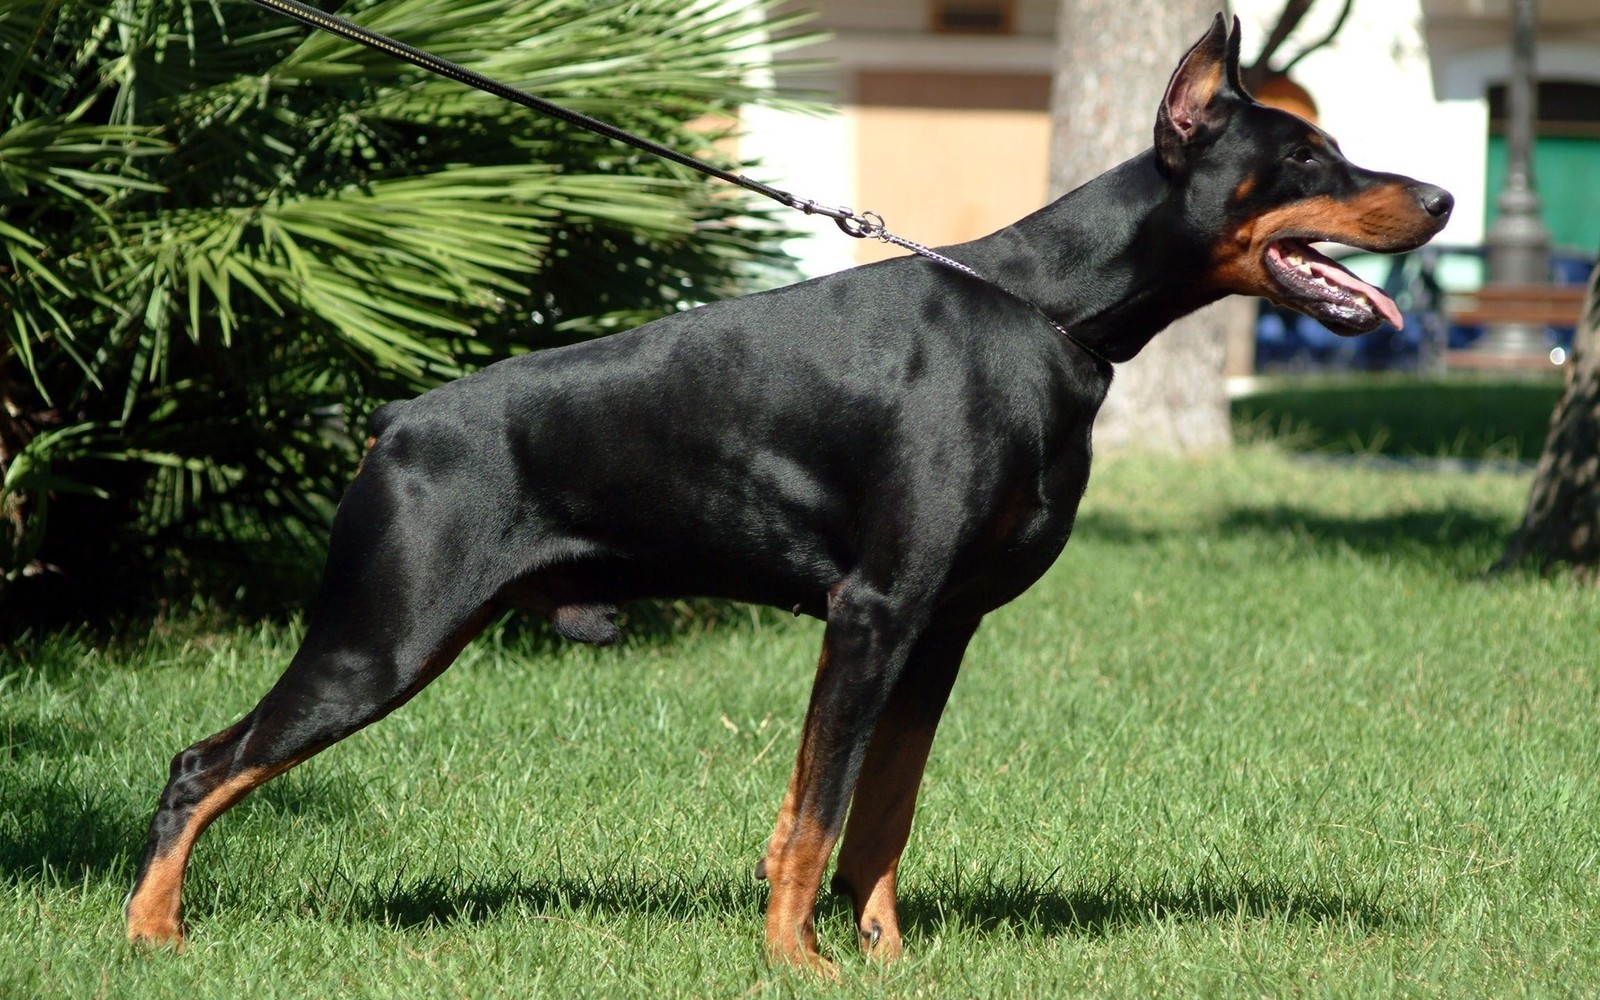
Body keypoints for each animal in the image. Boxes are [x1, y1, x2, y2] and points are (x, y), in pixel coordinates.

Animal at [124, 13, 1452, 966]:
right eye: (1308, 157)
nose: (1440, 197)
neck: (1049, 317)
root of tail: (397, 418)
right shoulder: (872, 612)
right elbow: (819, 807)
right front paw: (795, 959)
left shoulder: (939, 629)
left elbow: (882, 808)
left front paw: (883, 953)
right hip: (384, 636)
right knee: (198, 765)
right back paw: (150, 932)